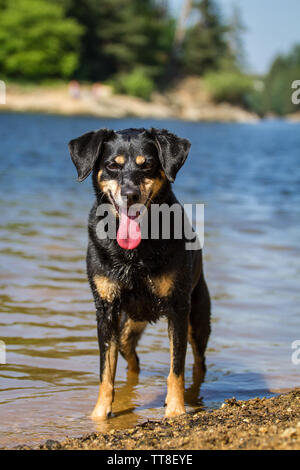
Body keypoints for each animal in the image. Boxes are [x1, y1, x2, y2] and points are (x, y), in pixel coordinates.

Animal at [68, 126, 211, 420]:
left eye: (147, 165)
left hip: (198, 318)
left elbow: (176, 366)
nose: (130, 194)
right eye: (112, 165)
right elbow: (106, 370)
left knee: (198, 362)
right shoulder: (106, 308)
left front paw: (176, 410)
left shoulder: (178, 308)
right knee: (131, 358)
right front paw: (99, 415)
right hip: (127, 327)